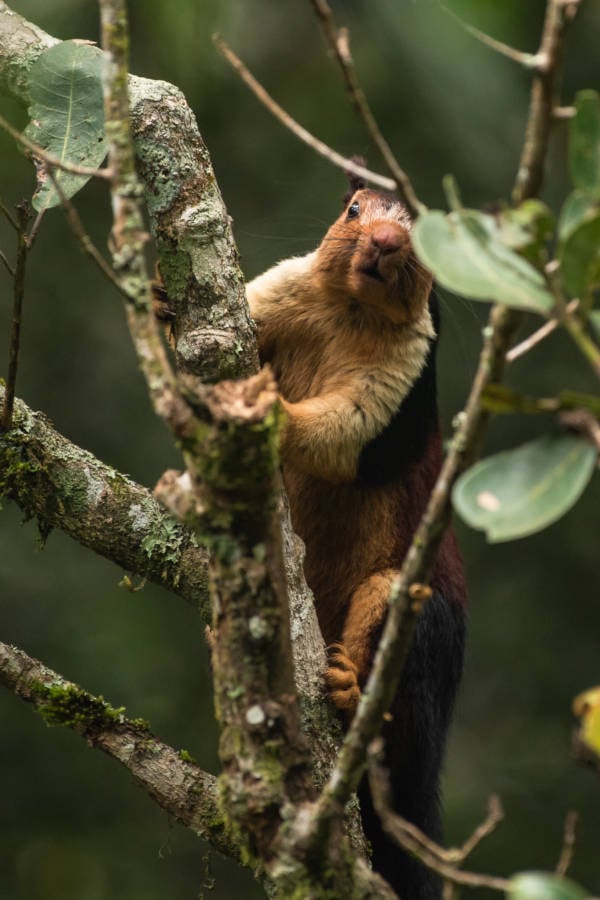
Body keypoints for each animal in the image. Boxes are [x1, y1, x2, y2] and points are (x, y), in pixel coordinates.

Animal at [246, 172, 466, 896]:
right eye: (353, 209)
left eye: (429, 237)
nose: (386, 241)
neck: (350, 312)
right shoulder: (276, 293)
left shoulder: (402, 383)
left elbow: (345, 430)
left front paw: (276, 410)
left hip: (416, 622)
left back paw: (347, 691)